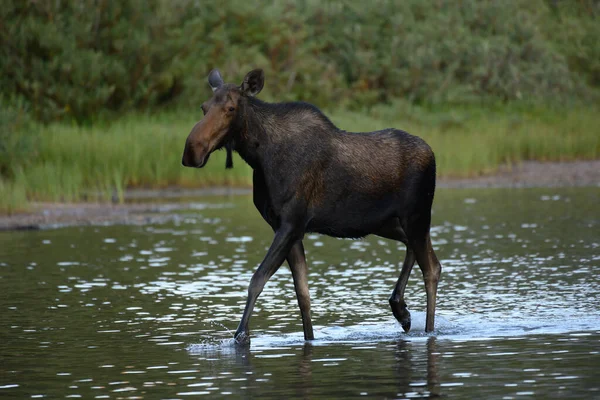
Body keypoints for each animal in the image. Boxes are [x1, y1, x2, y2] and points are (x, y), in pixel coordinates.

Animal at [180, 69, 442, 344]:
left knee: (431, 268)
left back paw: (427, 329)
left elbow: (257, 279)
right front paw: (309, 337)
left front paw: (241, 336)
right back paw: (401, 309)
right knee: (416, 249)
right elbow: (303, 295)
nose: (191, 150)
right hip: (386, 223)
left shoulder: (291, 224)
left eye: (230, 108)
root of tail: (432, 153)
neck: (259, 157)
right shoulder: (288, 229)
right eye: (203, 107)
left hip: (416, 215)